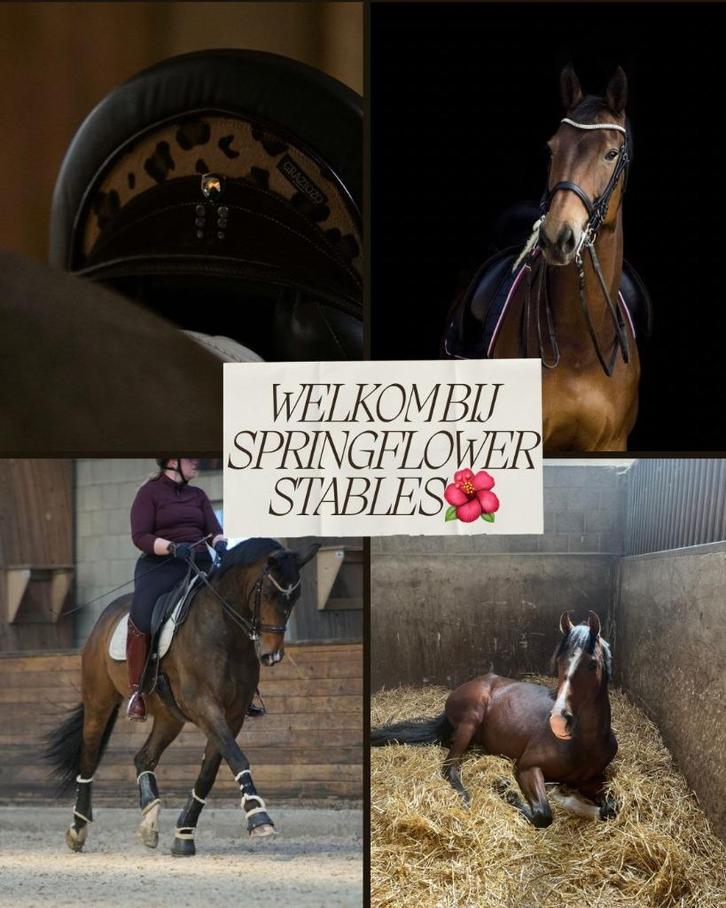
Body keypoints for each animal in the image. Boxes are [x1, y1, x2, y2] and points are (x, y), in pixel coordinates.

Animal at [45, 537, 319, 855]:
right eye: (271, 595)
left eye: (295, 596)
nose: (272, 655)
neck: (225, 632)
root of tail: (106, 616)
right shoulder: (204, 705)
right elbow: (236, 757)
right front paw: (258, 817)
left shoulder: (233, 714)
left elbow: (210, 770)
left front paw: (184, 835)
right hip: (99, 701)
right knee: (88, 758)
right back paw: (78, 829)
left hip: (168, 717)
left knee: (144, 758)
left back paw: (149, 819)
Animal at [371, 611, 618, 828]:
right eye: (559, 662)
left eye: (592, 664)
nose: (558, 720)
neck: (581, 746)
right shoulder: (526, 767)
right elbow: (543, 815)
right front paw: (505, 788)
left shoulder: (593, 780)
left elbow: (611, 808)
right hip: (471, 719)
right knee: (450, 767)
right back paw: (465, 797)